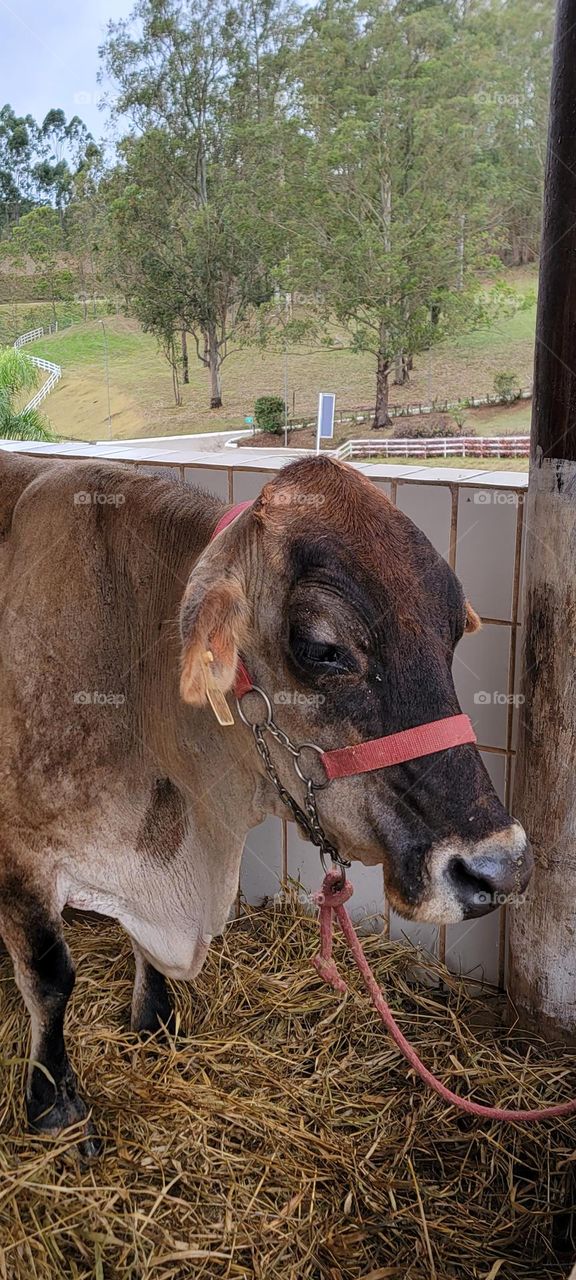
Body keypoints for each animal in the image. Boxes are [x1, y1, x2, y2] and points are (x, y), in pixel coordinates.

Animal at [0, 450, 532, 1155]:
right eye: (322, 648)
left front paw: (156, 1021)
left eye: (451, 637)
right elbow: (50, 977)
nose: (501, 868)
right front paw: (55, 1106)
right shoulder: (20, 855)